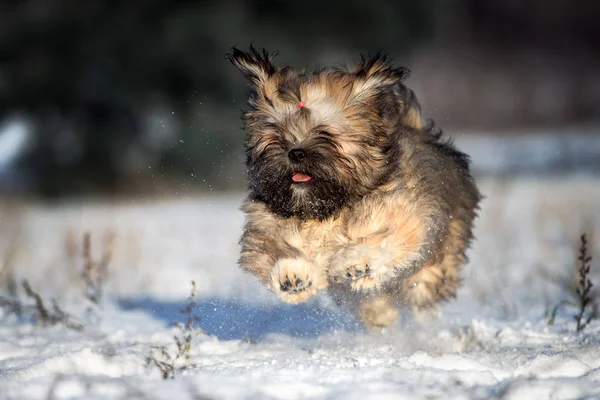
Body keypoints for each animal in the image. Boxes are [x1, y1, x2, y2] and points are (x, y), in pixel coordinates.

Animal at [227, 47, 480, 330]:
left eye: (326, 133)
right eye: (276, 134)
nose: (296, 152)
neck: (324, 208)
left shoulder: (405, 217)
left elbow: (384, 240)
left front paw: (354, 262)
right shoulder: (266, 227)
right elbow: (275, 250)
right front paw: (292, 275)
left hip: (439, 257)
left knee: (422, 288)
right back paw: (380, 314)